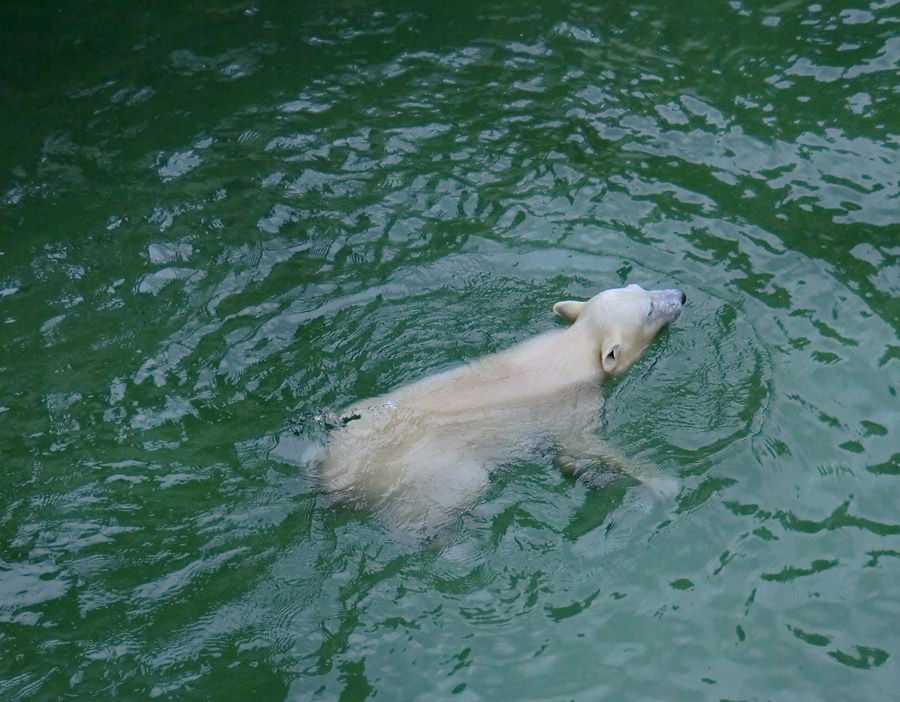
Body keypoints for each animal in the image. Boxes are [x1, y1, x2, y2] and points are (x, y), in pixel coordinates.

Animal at [320, 284, 684, 536]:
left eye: (639, 287)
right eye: (650, 309)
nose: (680, 295)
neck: (571, 354)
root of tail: (336, 478)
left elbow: (568, 454)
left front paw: (585, 475)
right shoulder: (573, 404)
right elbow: (588, 444)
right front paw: (663, 484)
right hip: (428, 476)